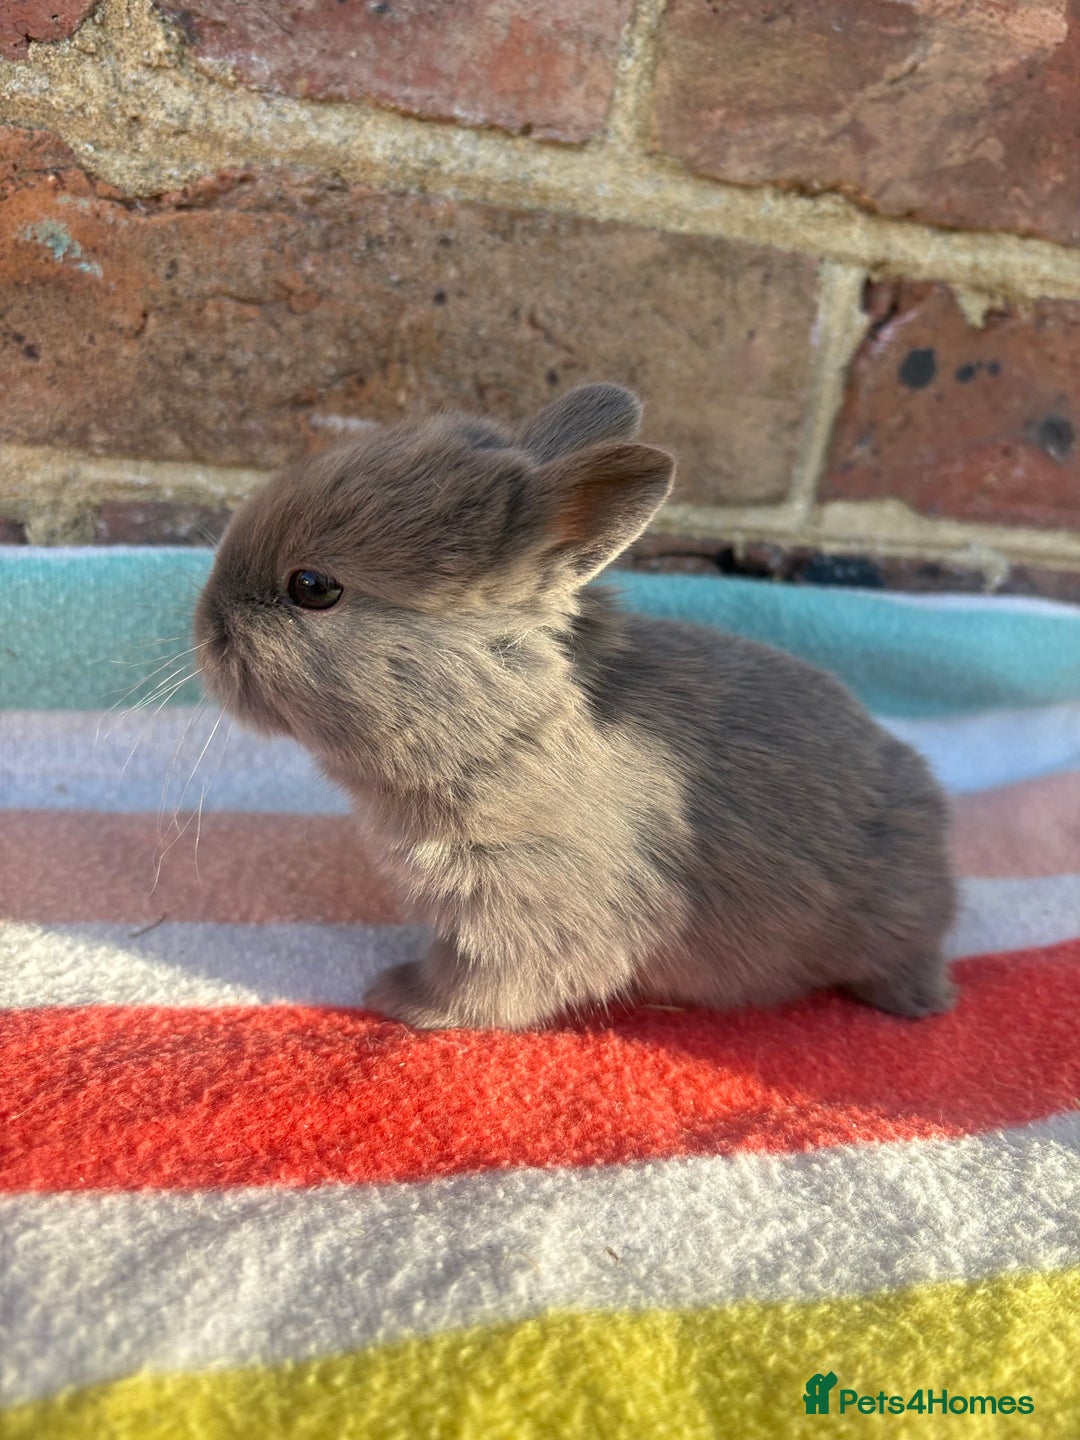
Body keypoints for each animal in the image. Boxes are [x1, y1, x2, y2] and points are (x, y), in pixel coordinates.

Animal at [194, 382, 957, 1031]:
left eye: (313, 587)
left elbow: (482, 983)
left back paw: (919, 1002)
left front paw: (398, 999)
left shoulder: (527, 909)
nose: (202, 625)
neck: (505, 728)